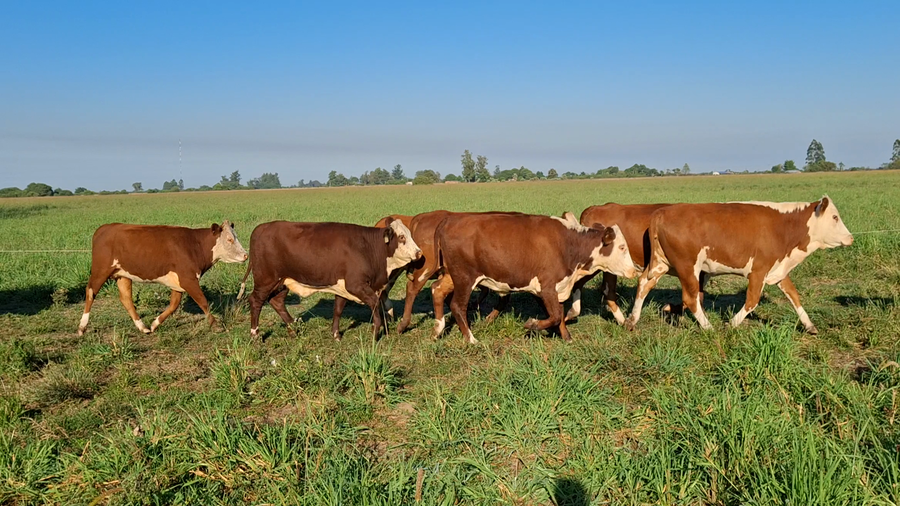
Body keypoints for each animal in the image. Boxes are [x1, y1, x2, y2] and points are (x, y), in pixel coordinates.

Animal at [77, 221, 248, 336]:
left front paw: (154, 324)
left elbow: (173, 305)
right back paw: (82, 327)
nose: (246, 255)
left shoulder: (178, 282)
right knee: (90, 292)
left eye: (236, 237)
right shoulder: (188, 279)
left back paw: (143, 327)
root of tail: (104, 228)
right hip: (100, 271)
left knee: (126, 298)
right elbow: (203, 301)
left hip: (123, 275)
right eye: (229, 239)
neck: (194, 245)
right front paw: (215, 324)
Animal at [238, 218, 422, 340]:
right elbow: (375, 303)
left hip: (283, 281)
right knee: (255, 301)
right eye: (402, 237)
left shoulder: (343, 287)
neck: (368, 248)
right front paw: (377, 331)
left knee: (276, 302)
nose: (419, 252)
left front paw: (336, 334)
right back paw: (255, 335)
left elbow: (338, 309)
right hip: (265, 280)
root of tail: (260, 228)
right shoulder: (356, 285)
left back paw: (294, 328)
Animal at [430, 212, 637, 344]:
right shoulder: (547, 287)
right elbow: (555, 316)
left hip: (452, 275)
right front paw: (533, 324)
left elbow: (559, 314)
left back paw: (437, 330)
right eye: (621, 247)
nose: (633, 271)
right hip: (464, 278)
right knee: (457, 306)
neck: (568, 244)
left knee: (437, 290)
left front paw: (566, 337)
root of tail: (450, 220)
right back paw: (471, 339)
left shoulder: (557, 288)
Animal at [624, 196, 853, 333]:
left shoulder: (778, 269)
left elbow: (793, 295)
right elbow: (752, 301)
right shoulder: (759, 271)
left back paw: (632, 319)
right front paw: (731, 323)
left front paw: (809, 325)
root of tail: (661, 213)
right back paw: (709, 328)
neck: (783, 227)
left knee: (644, 284)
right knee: (690, 299)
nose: (850, 238)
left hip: (661, 264)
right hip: (687, 267)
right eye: (835, 217)